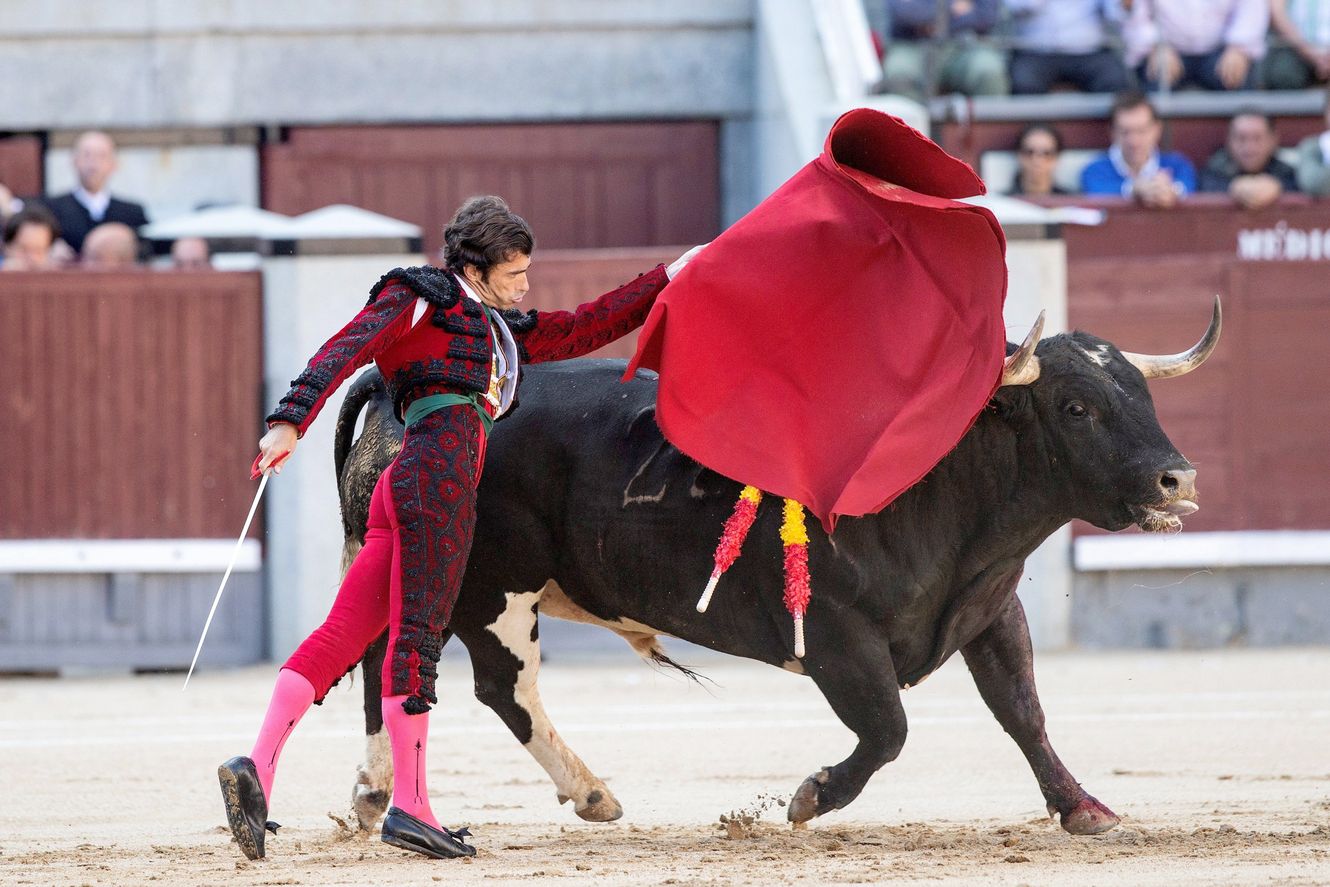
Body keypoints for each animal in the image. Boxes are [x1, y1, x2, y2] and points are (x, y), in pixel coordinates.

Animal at [329, 308, 1218, 835]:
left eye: (1141, 394)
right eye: (1076, 406)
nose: (1177, 478)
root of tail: (404, 387)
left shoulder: (989, 611)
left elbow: (1023, 710)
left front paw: (1083, 806)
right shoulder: (833, 633)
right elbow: (888, 727)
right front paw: (811, 795)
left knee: (382, 660)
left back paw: (374, 794)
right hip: (491, 588)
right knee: (496, 685)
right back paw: (588, 792)